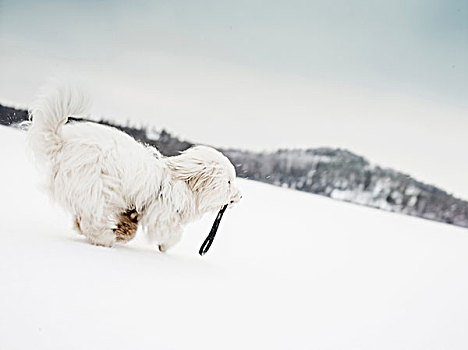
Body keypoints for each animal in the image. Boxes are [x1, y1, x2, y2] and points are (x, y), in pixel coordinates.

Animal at [27, 82, 241, 252]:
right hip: (96, 188)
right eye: (229, 182)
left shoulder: (134, 209)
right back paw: (105, 238)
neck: (182, 182)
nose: (240, 196)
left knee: (83, 219)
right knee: (91, 221)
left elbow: (131, 228)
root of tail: (62, 143)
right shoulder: (162, 213)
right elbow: (172, 232)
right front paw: (165, 245)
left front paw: (122, 232)